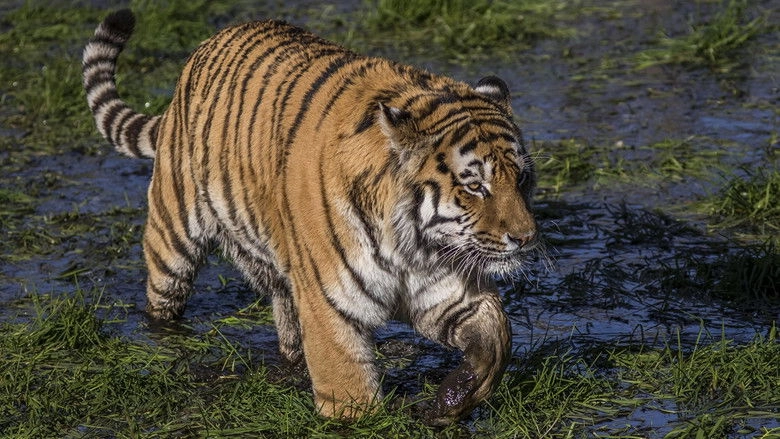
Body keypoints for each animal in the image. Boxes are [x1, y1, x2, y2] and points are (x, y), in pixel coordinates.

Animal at [82, 9, 539, 425]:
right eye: (474, 186)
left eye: (521, 178)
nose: (526, 237)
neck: (413, 245)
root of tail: (209, 44)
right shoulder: (328, 303)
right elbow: (350, 395)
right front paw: (364, 419)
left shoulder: (445, 289)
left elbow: (495, 336)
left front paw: (450, 402)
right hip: (173, 235)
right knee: (162, 299)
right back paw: (166, 347)